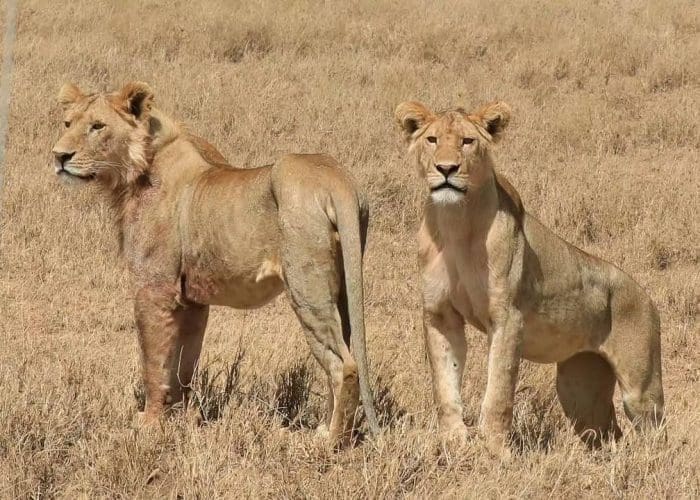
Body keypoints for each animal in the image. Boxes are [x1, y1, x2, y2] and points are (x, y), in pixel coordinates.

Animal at [51, 81, 380, 446]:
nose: (59, 156)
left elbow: (152, 361)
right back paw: (326, 427)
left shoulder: (152, 289)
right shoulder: (192, 300)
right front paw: (179, 418)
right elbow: (183, 364)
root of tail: (336, 180)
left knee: (343, 365)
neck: (136, 169)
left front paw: (149, 424)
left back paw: (329, 441)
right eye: (67, 123)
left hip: (307, 290)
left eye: (97, 126)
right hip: (343, 288)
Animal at [394, 100, 664, 454]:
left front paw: (495, 452)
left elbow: (498, 391)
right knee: (606, 433)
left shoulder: (507, 318)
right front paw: (454, 442)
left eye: (467, 141)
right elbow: (445, 385)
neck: (456, 222)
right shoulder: (440, 315)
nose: (446, 169)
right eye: (432, 140)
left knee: (656, 431)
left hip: (640, 388)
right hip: (579, 390)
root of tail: (645, 295)